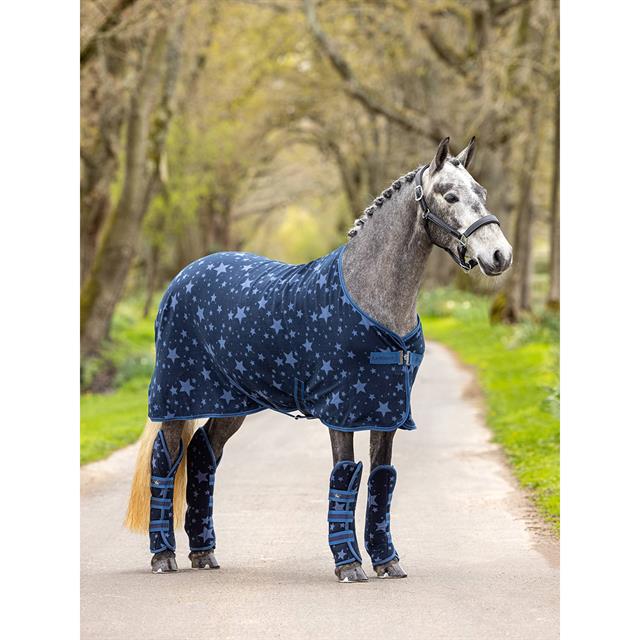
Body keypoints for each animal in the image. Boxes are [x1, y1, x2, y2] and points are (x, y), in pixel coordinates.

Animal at [125, 137, 512, 582]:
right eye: (449, 195)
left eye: (482, 192)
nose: (500, 255)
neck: (370, 297)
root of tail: (182, 278)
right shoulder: (341, 412)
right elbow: (344, 475)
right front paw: (349, 565)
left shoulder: (385, 411)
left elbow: (381, 479)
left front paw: (387, 561)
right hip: (177, 400)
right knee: (165, 462)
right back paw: (163, 557)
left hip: (232, 404)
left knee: (204, 455)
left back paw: (204, 553)